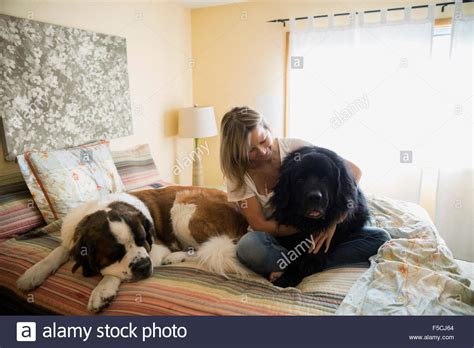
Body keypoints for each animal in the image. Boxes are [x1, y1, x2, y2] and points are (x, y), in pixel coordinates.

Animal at [16, 186, 250, 314]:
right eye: (114, 254)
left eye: (142, 240)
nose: (144, 266)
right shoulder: (72, 237)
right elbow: (57, 252)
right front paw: (33, 273)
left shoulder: (156, 248)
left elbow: (112, 273)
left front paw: (102, 289)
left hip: (183, 211)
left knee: (208, 249)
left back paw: (175, 257)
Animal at [270, 145, 370, 286]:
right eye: (300, 180)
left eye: (325, 179)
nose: (314, 197)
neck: (311, 224)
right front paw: (286, 276)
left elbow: (310, 258)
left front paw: (291, 276)